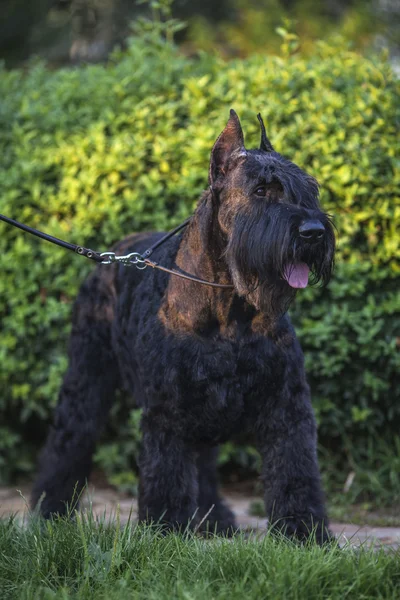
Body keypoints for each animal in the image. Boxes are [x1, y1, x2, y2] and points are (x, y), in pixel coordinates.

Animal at [32, 109, 336, 544]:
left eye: (309, 188)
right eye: (261, 189)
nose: (314, 232)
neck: (230, 310)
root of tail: (113, 256)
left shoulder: (287, 403)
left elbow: (295, 471)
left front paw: (304, 531)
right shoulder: (168, 412)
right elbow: (167, 474)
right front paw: (165, 532)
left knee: (204, 463)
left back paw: (214, 519)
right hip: (86, 378)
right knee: (69, 440)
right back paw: (49, 512)